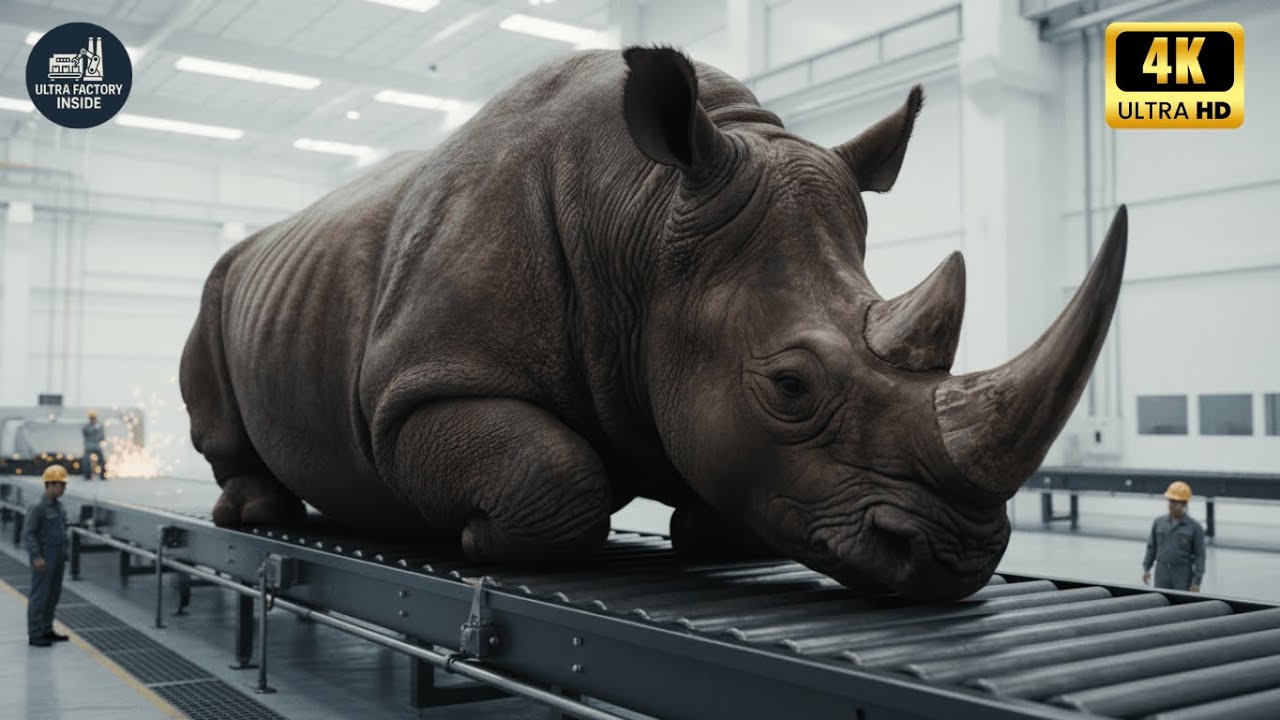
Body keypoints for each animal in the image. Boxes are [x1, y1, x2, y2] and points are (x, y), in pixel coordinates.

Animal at [180, 47, 1126, 601]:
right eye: (789, 386)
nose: (954, 560)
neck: (643, 218)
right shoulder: (415, 389)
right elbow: (553, 474)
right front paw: (472, 535)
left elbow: (724, 473)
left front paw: (702, 533)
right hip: (225, 279)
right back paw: (253, 509)